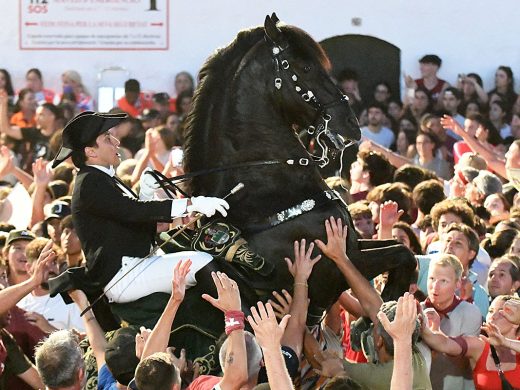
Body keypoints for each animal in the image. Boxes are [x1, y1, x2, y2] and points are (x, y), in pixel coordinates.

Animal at [152, 12, 416, 372]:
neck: (266, 190)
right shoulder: (334, 268)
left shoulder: (350, 247)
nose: (351, 126)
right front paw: (382, 319)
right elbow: (401, 257)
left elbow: (404, 254)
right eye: (305, 68)